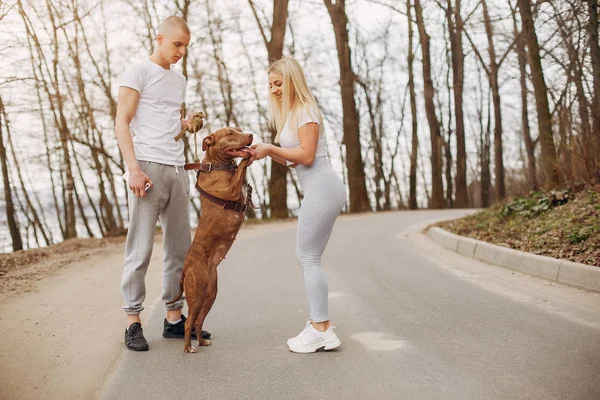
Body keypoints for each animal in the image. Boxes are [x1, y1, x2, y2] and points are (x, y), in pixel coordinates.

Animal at [166, 127, 255, 354]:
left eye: (240, 130)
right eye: (231, 133)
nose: (250, 135)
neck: (217, 165)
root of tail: (186, 267)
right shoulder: (230, 190)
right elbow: (241, 167)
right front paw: (247, 158)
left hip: (210, 295)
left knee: (198, 321)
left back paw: (201, 341)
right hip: (196, 295)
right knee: (189, 322)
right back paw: (188, 348)